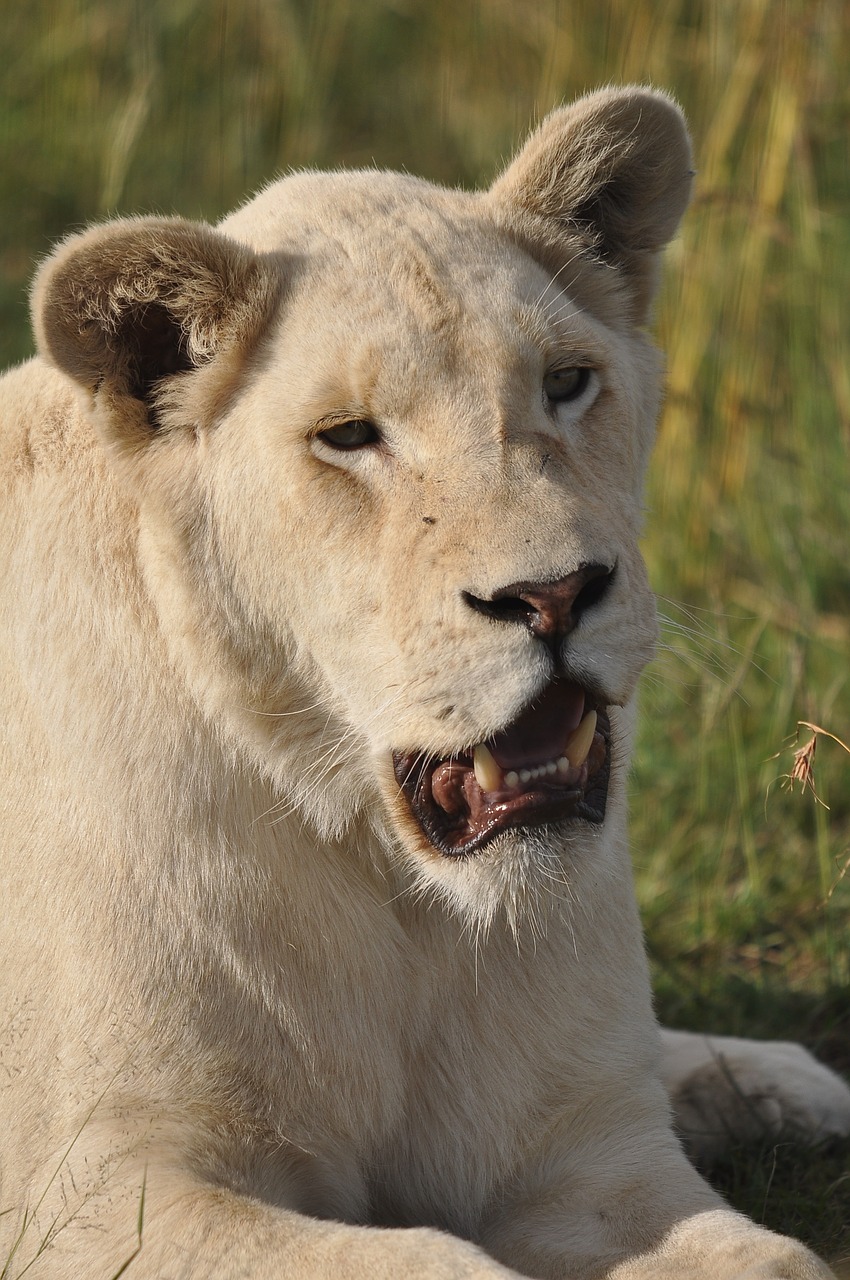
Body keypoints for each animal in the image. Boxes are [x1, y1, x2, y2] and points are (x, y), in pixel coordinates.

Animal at [1, 85, 850, 1274]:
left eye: (566, 383)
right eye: (348, 436)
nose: (552, 595)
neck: (393, 898)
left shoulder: (584, 1159)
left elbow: (770, 1257)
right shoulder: (95, 1191)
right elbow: (423, 1254)